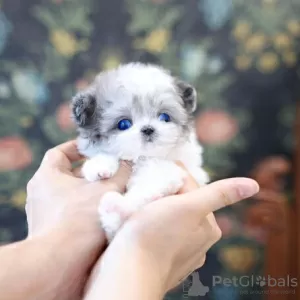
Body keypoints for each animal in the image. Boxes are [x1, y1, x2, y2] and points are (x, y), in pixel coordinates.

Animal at [71, 61, 210, 241]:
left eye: (164, 117)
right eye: (123, 124)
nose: (148, 129)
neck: (143, 157)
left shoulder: (168, 171)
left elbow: (148, 188)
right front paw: (99, 167)